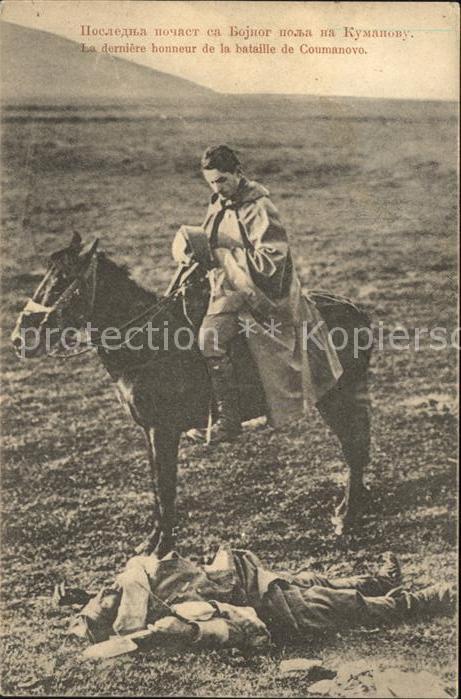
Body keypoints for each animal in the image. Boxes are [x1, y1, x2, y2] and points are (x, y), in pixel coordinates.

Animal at [11, 232, 373, 555]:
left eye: (62, 281)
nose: (19, 338)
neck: (148, 342)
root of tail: (354, 308)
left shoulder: (163, 430)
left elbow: (166, 487)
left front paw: (163, 548)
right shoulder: (149, 431)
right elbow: (157, 487)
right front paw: (152, 543)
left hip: (338, 398)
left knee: (354, 450)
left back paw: (347, 517)